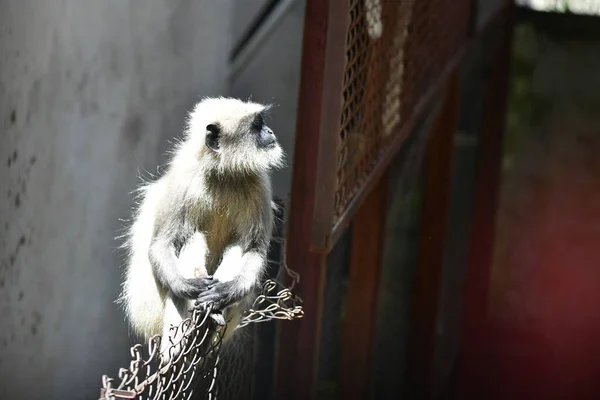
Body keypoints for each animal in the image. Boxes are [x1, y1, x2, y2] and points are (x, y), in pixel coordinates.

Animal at [119, 96, 286, 360]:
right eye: (257, 125)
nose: (270, 132)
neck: (223, 173)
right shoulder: (183, 177)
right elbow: (161, 245)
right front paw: (186, 286)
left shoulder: (259, 184)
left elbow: (254, 250)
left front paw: (226, 292)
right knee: (190, 237)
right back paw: (177, 346)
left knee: (237, 246)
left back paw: (213, 308)